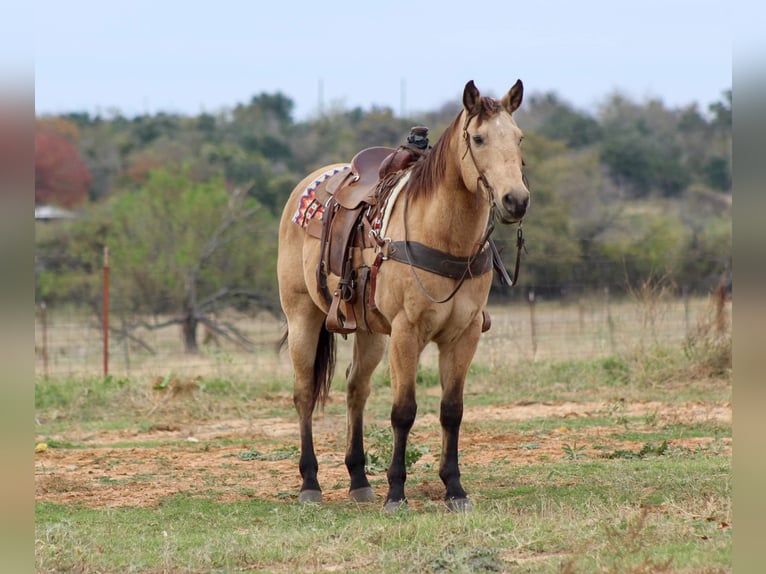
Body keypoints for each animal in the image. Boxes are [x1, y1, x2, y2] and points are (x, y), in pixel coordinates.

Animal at [278, 80, 536, 512]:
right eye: (479, 138)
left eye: (518, 138)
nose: (515, 200)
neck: (444, 236)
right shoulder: (406, 333)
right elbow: (404, 411)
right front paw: (396, 493)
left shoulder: (463, 335)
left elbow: (451, 411)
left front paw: (455, 489)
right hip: (302, 318)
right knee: (304, 393)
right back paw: (310, 483)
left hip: (369, 332)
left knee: (356, 390)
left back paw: (359, 480)